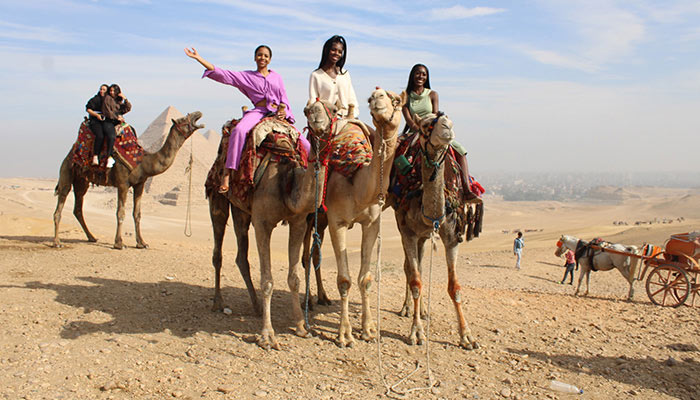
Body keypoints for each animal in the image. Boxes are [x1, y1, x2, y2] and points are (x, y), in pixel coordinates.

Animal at [53, 111, 204, 249]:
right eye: (184, 118)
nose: (198, 113)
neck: (144, 162)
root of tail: (71, 152)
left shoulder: (140, 184)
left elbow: (137, 214)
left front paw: (142, 243)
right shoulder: (123, 184)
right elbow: (120, 213)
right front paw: (119, 243)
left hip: (82, 181)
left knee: (78, 208)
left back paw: (91, 237)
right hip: (67, 171)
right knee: (61, 202)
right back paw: (57, 242)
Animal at [206, 100, 333, 350]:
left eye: (334, 109)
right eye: (309, 111)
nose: (317, 116)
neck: (287, 182)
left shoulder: (298, 222)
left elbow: (294, 278)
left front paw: (301, 327)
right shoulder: (263, 222)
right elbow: (267, 280)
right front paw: (267, 335)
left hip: (241, 210)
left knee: (241, 256)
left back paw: (255, 306)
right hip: (217, 198)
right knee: (218, 251)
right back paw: (218, 302)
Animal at [319, 88, 405, 347]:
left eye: (397, 99)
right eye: (370, 98)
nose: (376, 97)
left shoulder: (371, 224)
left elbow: (365, 278)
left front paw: (368, 329)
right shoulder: (336, 222)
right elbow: (344, 280)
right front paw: (344, 334)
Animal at [392, 113, 479, 349]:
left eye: (450, 119)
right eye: (424, 126)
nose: (446, 127)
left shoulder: (451, 236)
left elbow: (454, 287)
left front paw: (467, 336)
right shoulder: (408, 232)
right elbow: (415, 281)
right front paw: (416, 332)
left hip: (423, 236)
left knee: (419, 267)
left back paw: (421, 310)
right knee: (410, 269)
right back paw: (408, 309)